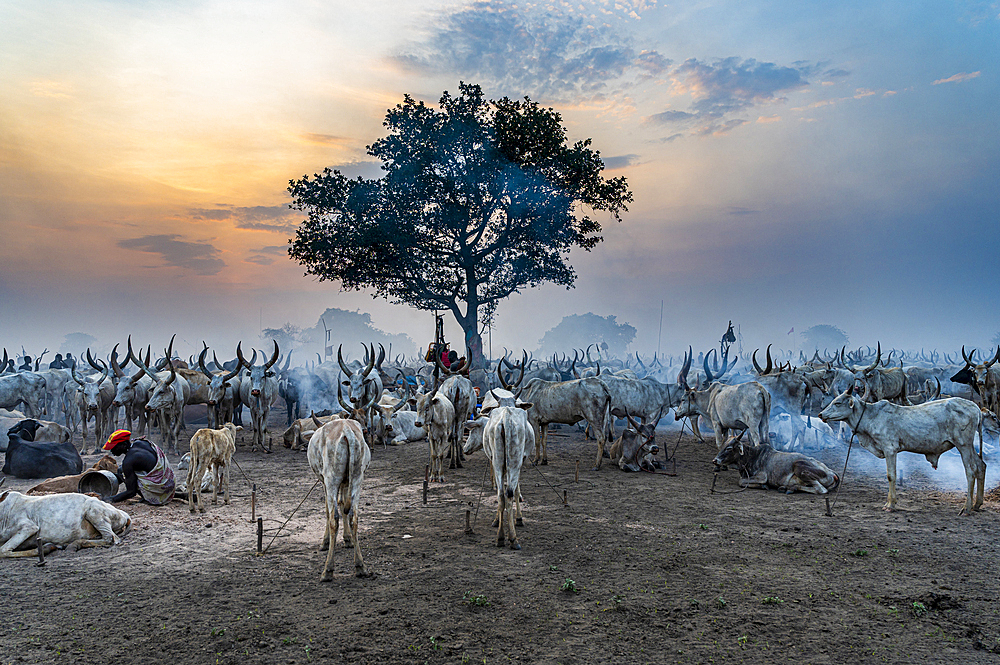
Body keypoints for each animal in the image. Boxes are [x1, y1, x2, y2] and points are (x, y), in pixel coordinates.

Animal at [0, 486, 132, 556]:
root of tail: (125, 514)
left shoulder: (29, 527)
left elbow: (3, 551)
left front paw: (47, 548)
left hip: (94, 512)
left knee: (111, 539)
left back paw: (73, 545)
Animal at [306, 420, 374, 580]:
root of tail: (346, 429)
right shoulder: (345, 483)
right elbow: (343, 505)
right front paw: (348, 539)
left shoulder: (325, 483)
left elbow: (328, 510)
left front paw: (325, 542)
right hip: (357, 478)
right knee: (353, 517)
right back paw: (360, 566)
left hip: (332, 479)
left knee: (333, 519)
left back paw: (327, 570)